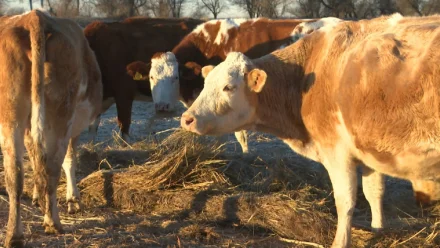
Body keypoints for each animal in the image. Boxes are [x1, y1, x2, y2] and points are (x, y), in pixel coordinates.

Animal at [0, 9, 101, 248]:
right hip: (61, 113)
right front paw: (73, 199)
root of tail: (34, 17)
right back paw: (52, 222)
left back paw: (15, 234)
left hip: (12, 113)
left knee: (16, 171)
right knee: (52, 165)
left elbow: (36, 159)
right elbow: (68, 160)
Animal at [180, 13, 440, 248]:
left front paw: (340, 242)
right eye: (205, 84)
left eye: (228, 87)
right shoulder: (368, 151)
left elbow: (345, 201)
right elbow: (374, 192)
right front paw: (378, 230)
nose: (187, 119)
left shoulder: (336, 151)